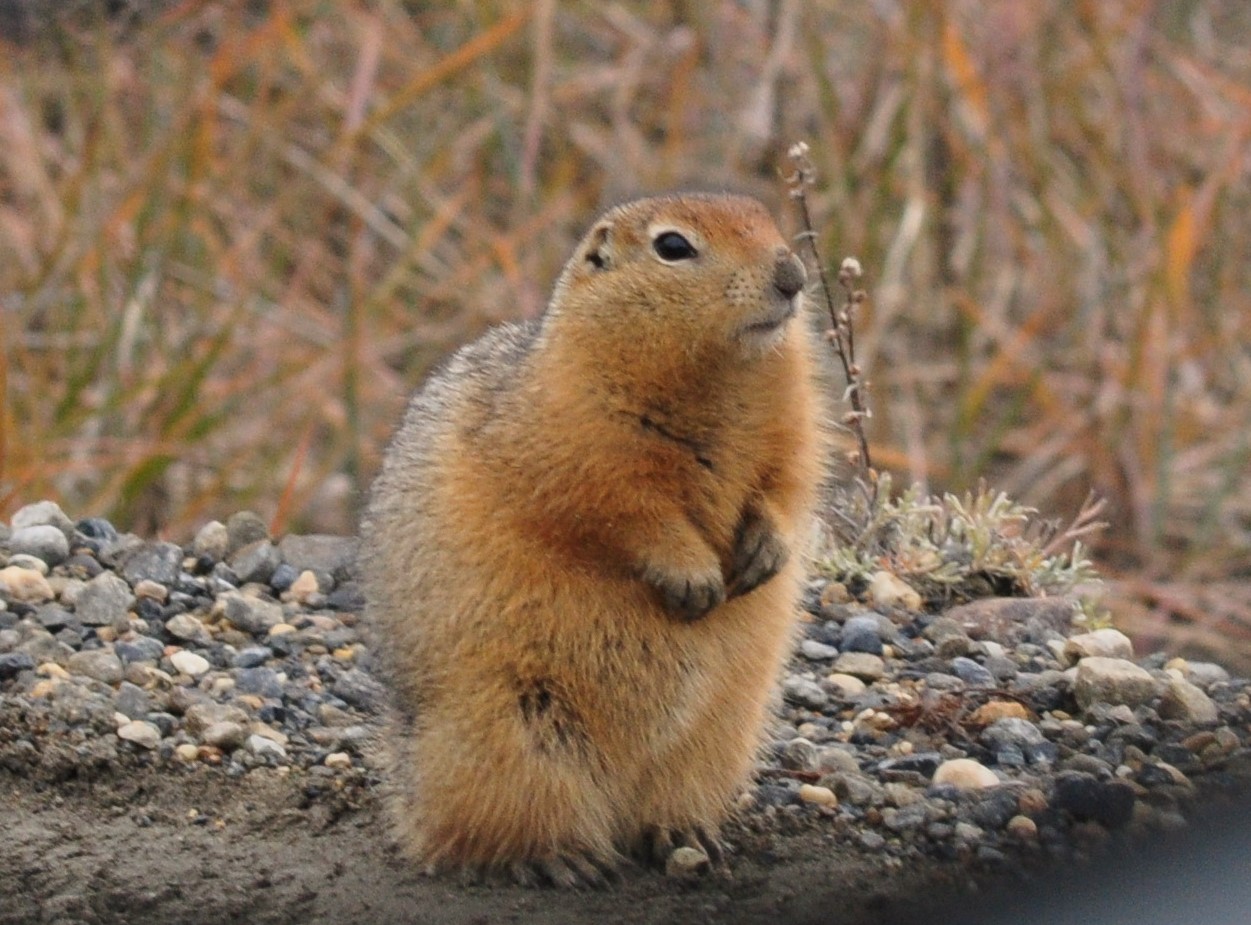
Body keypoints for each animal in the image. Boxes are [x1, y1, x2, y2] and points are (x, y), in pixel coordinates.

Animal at [360, 192, 827, 887]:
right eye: (673, 246)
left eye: (768, 219)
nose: (793, 277)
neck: (722, 377)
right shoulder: (577, 432)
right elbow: (619, 509)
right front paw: (693, 578)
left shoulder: (795, 424)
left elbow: (790, 483)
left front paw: (766, 551)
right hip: (511, 733)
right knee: (492, 824)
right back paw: (557, 858)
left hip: (717, 735)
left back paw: (683, 836)